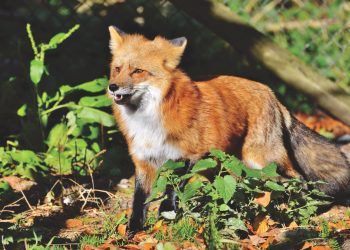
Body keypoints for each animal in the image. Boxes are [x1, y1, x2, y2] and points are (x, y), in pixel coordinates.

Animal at [106, 26, 350, 233]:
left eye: (138, 71)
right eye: (117, 69)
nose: (112, 87)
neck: (149, 120)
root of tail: (270, 92)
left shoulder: (190, 155)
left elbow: (171, 190)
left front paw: (166, 216)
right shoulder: (144, 161)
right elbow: (139, 201)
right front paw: (133, 231)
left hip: (261, 159)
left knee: (298, 178)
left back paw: (297, 208)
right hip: (221, 166)